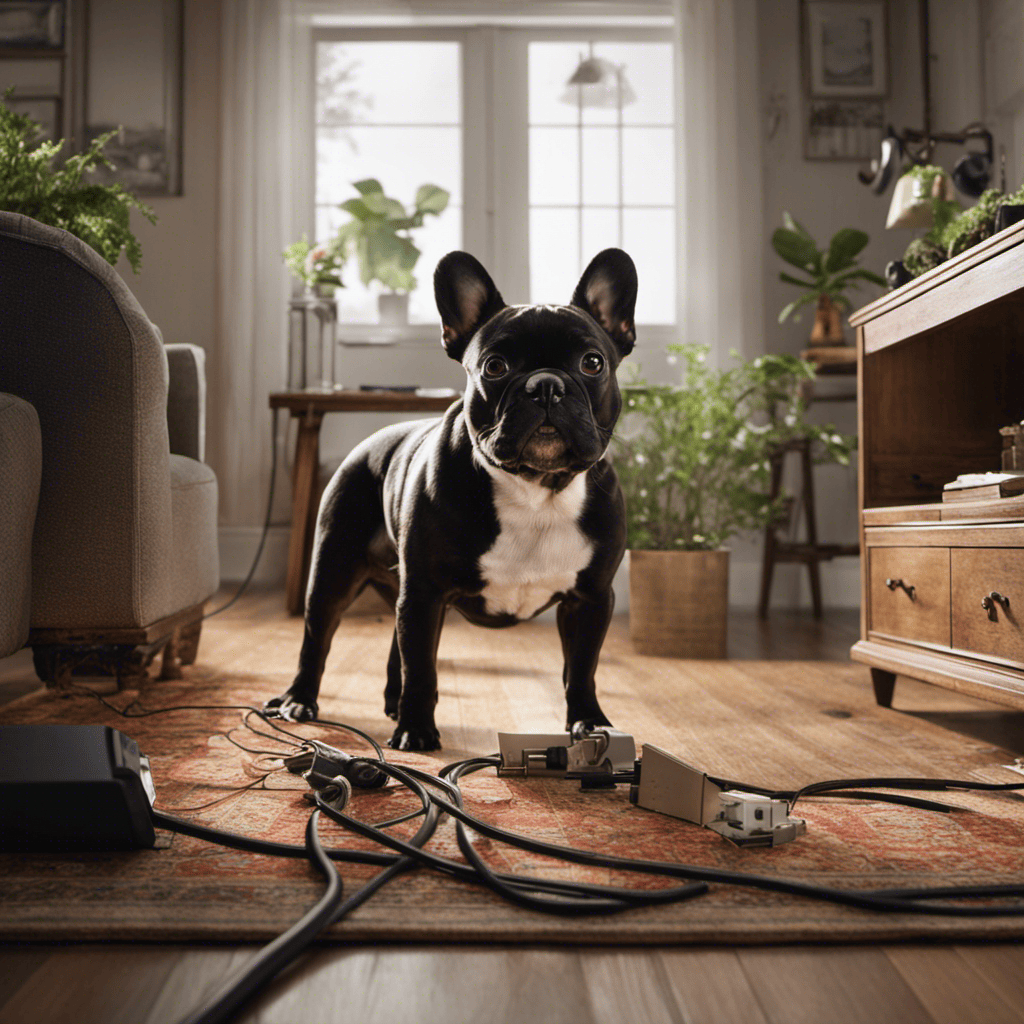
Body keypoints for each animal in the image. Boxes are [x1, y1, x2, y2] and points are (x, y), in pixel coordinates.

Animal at [266, 245, 630, 745]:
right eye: (495, 366)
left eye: (592, 363)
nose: (545, 385)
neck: (536, 491)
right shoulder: (426, 592)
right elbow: (422, 665)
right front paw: (417, 731)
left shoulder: (590, 599)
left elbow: (582, 667)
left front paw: (590, 722)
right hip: (334, 571)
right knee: (317, 637)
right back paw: (301, 700)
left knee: (394, 643)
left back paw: (391, 703)